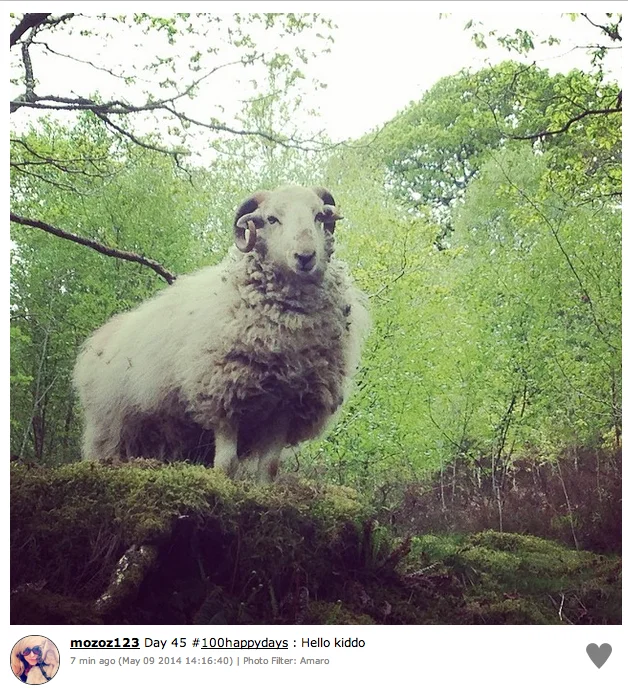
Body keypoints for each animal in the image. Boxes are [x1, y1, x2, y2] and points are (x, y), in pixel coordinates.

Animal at [73, 186, 370, 482]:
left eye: (319, 216)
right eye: (271, 219)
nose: (305, 256)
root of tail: (97, 339)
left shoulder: (284, 407)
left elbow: (269, 466)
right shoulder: (222, 397)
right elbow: (227, 463)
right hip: (108, 425)